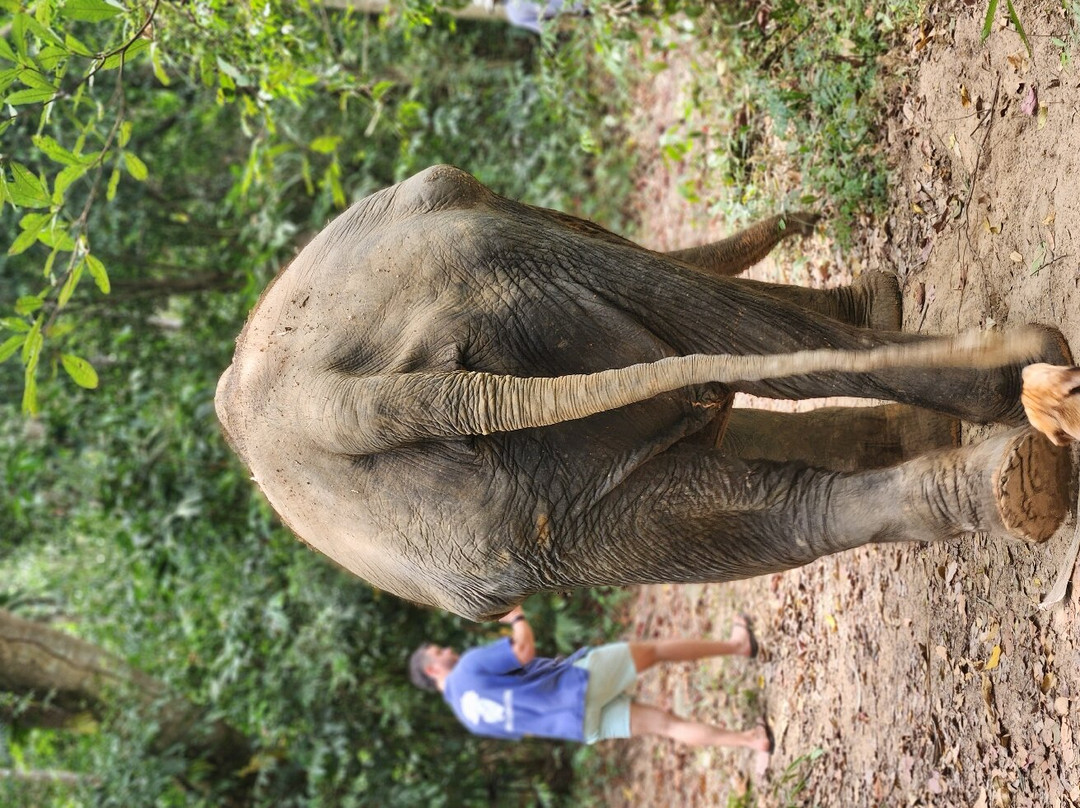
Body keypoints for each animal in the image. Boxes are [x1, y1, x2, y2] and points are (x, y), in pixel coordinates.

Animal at [215, 165, 1080, 621]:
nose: (806, 215)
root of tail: (335, 406)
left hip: (500, 532)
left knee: (746, 510)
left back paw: (1017, 466)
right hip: (512, 272)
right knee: (729, 345)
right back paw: (1030, 399)